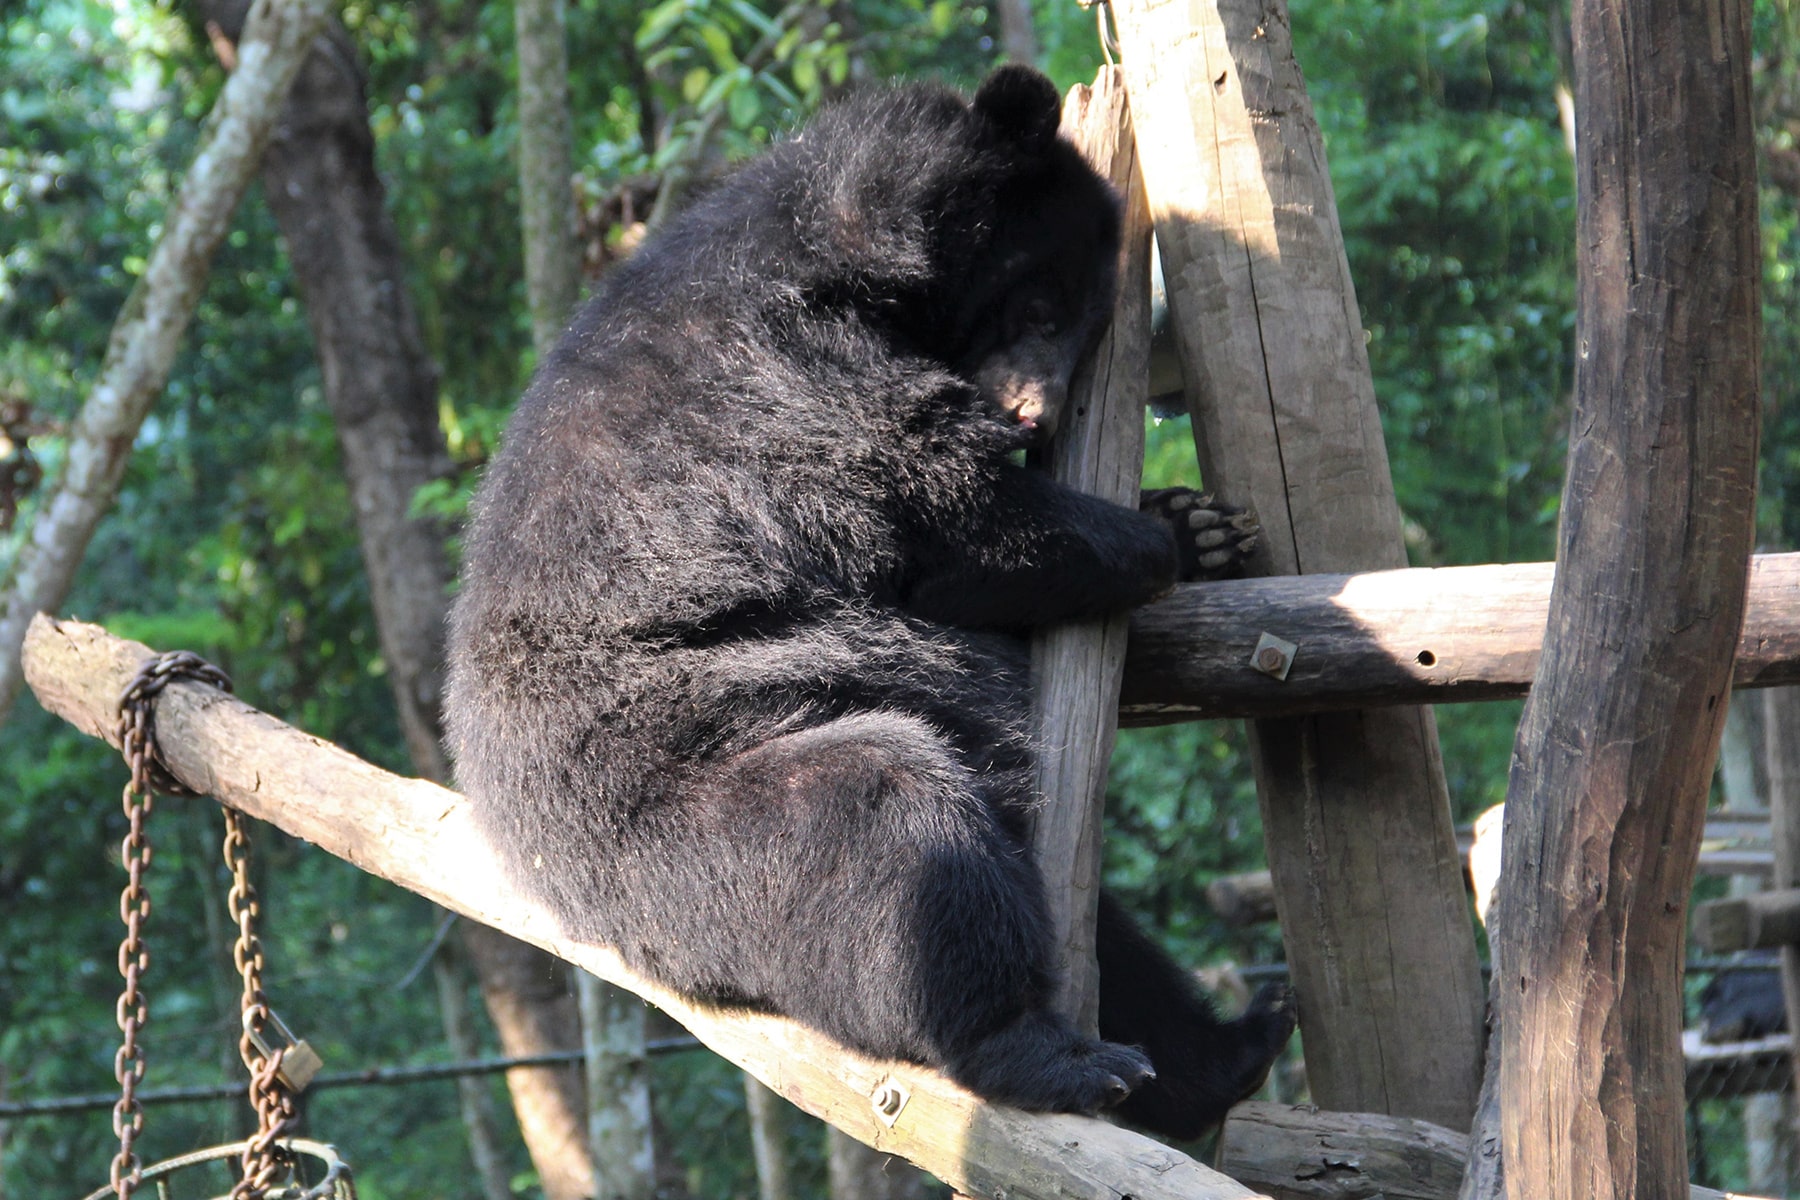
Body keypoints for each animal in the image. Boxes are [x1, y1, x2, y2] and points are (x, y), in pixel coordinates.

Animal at [448, 63, 1296, 1137]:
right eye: (1041, 300)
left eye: (1085, 325)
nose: (1035, 413)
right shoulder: (779, 375)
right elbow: (938, 513)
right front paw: (1155, 539)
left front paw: (1203, 525)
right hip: (691, 783)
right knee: (897, 831)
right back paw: (1052, 1057)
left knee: (1087, 913)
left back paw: (1228, 1048)